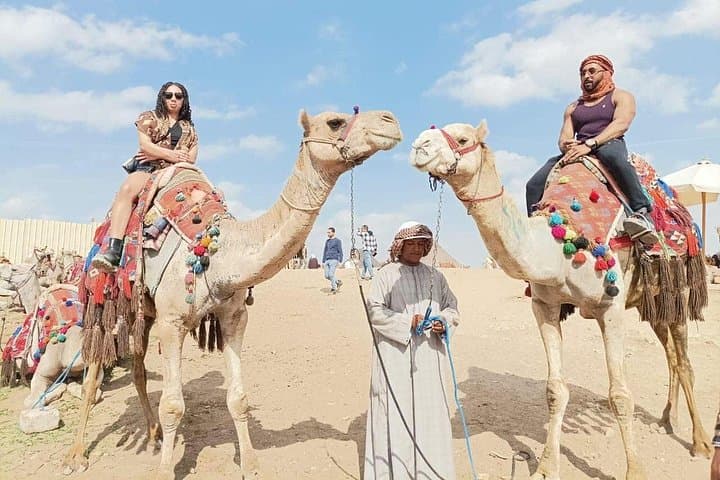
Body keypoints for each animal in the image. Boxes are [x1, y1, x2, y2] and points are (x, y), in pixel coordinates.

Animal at [62, 109, 402, 479]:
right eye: (335, 122)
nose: (391, 121)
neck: (218, 248)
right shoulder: (172, 321)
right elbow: (173, 405)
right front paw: (166, 471)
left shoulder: (234, 316)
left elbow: (237, 398)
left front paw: (250, 464)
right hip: (105, 299)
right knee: (95, 369)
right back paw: (77, 455)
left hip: (145, 312)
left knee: (138, 367)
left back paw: (153, 434)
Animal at [409, 121, 710, 480]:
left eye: (463, 138)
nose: (419, 145)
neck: (562, 242)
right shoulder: (545, 306)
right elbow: (555, 391)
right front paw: (545, 467)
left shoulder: (611, 307)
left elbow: (620, 395)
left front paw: (635, 471)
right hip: (650, 302)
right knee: (671, 355)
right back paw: (666, 419)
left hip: (678, 286)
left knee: (684, 362)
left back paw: (700, 443)